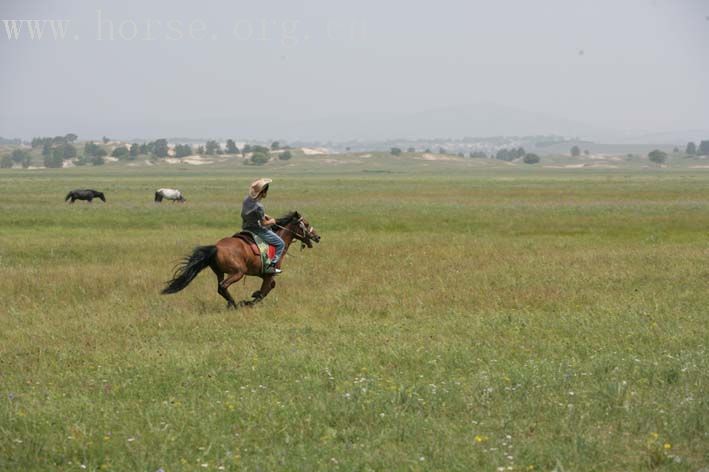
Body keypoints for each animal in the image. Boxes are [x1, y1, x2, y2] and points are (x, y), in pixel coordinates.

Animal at [162, 211, 320, 308]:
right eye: (306, 224)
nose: (317, 237)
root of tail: (216, 247)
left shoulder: (263, 273)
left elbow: (270, 286)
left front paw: (253, 295)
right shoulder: (270, 273)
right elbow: (265, 291)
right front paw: (249, 301)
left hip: (220, 272)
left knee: (220, 287)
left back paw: (232, 303)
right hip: (238, 273)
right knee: (223, 286)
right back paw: (235, 304)